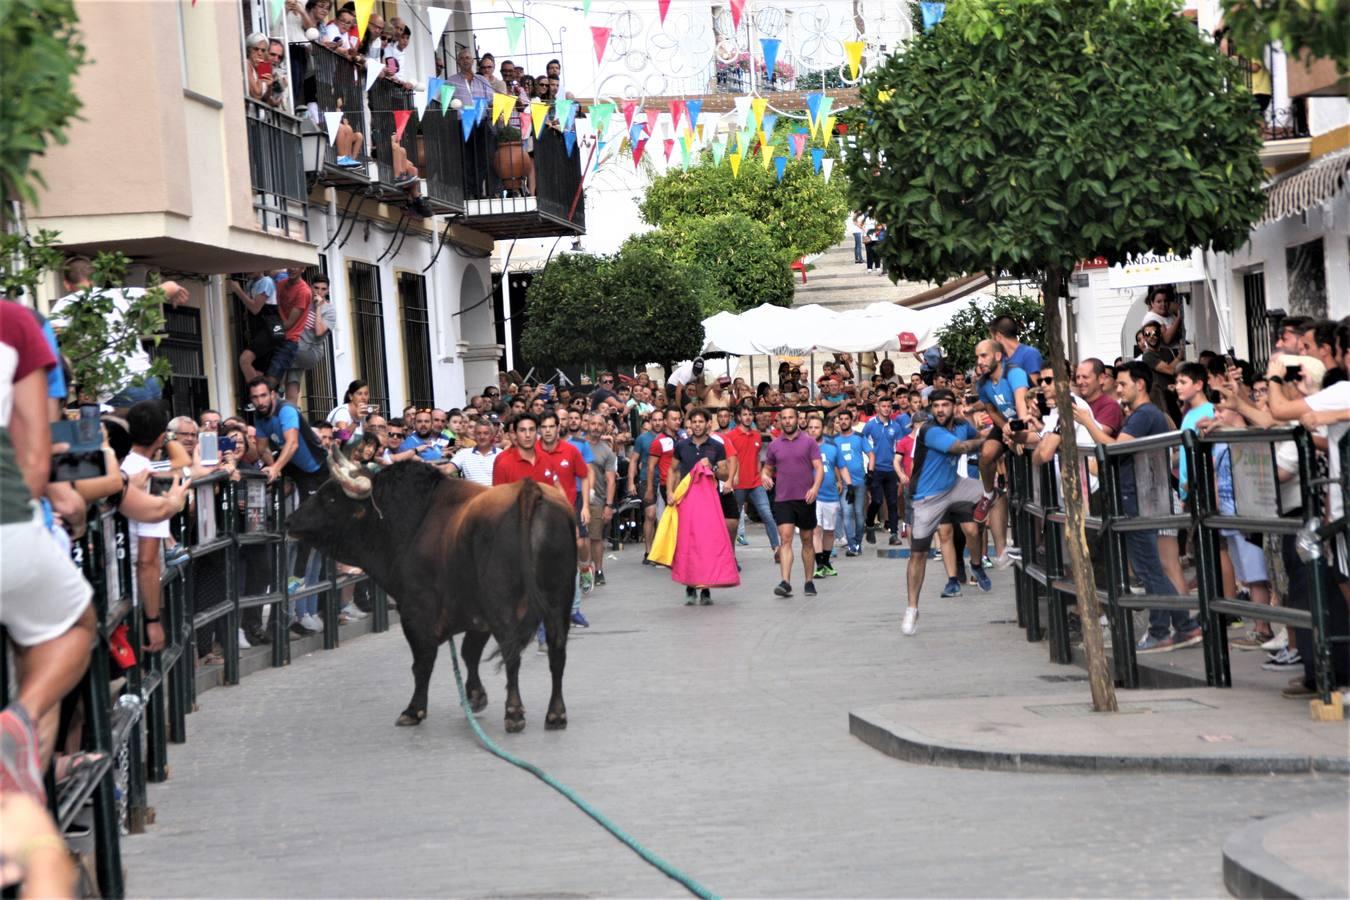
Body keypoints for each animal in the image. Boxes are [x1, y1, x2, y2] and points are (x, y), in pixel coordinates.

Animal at [290, 453, 575, 734]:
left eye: (330, 498)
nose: (290, 520)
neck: (414, 522)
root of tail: (528, 490)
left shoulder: (416, 612)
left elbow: (423, 662)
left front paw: (413, 710)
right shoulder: (476, 615)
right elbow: (469, 653)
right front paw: (475, 696)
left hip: (504, 604)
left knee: (511, 652)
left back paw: (514, 712)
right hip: (558, 601)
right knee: (557, 651)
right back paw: (556, 713)